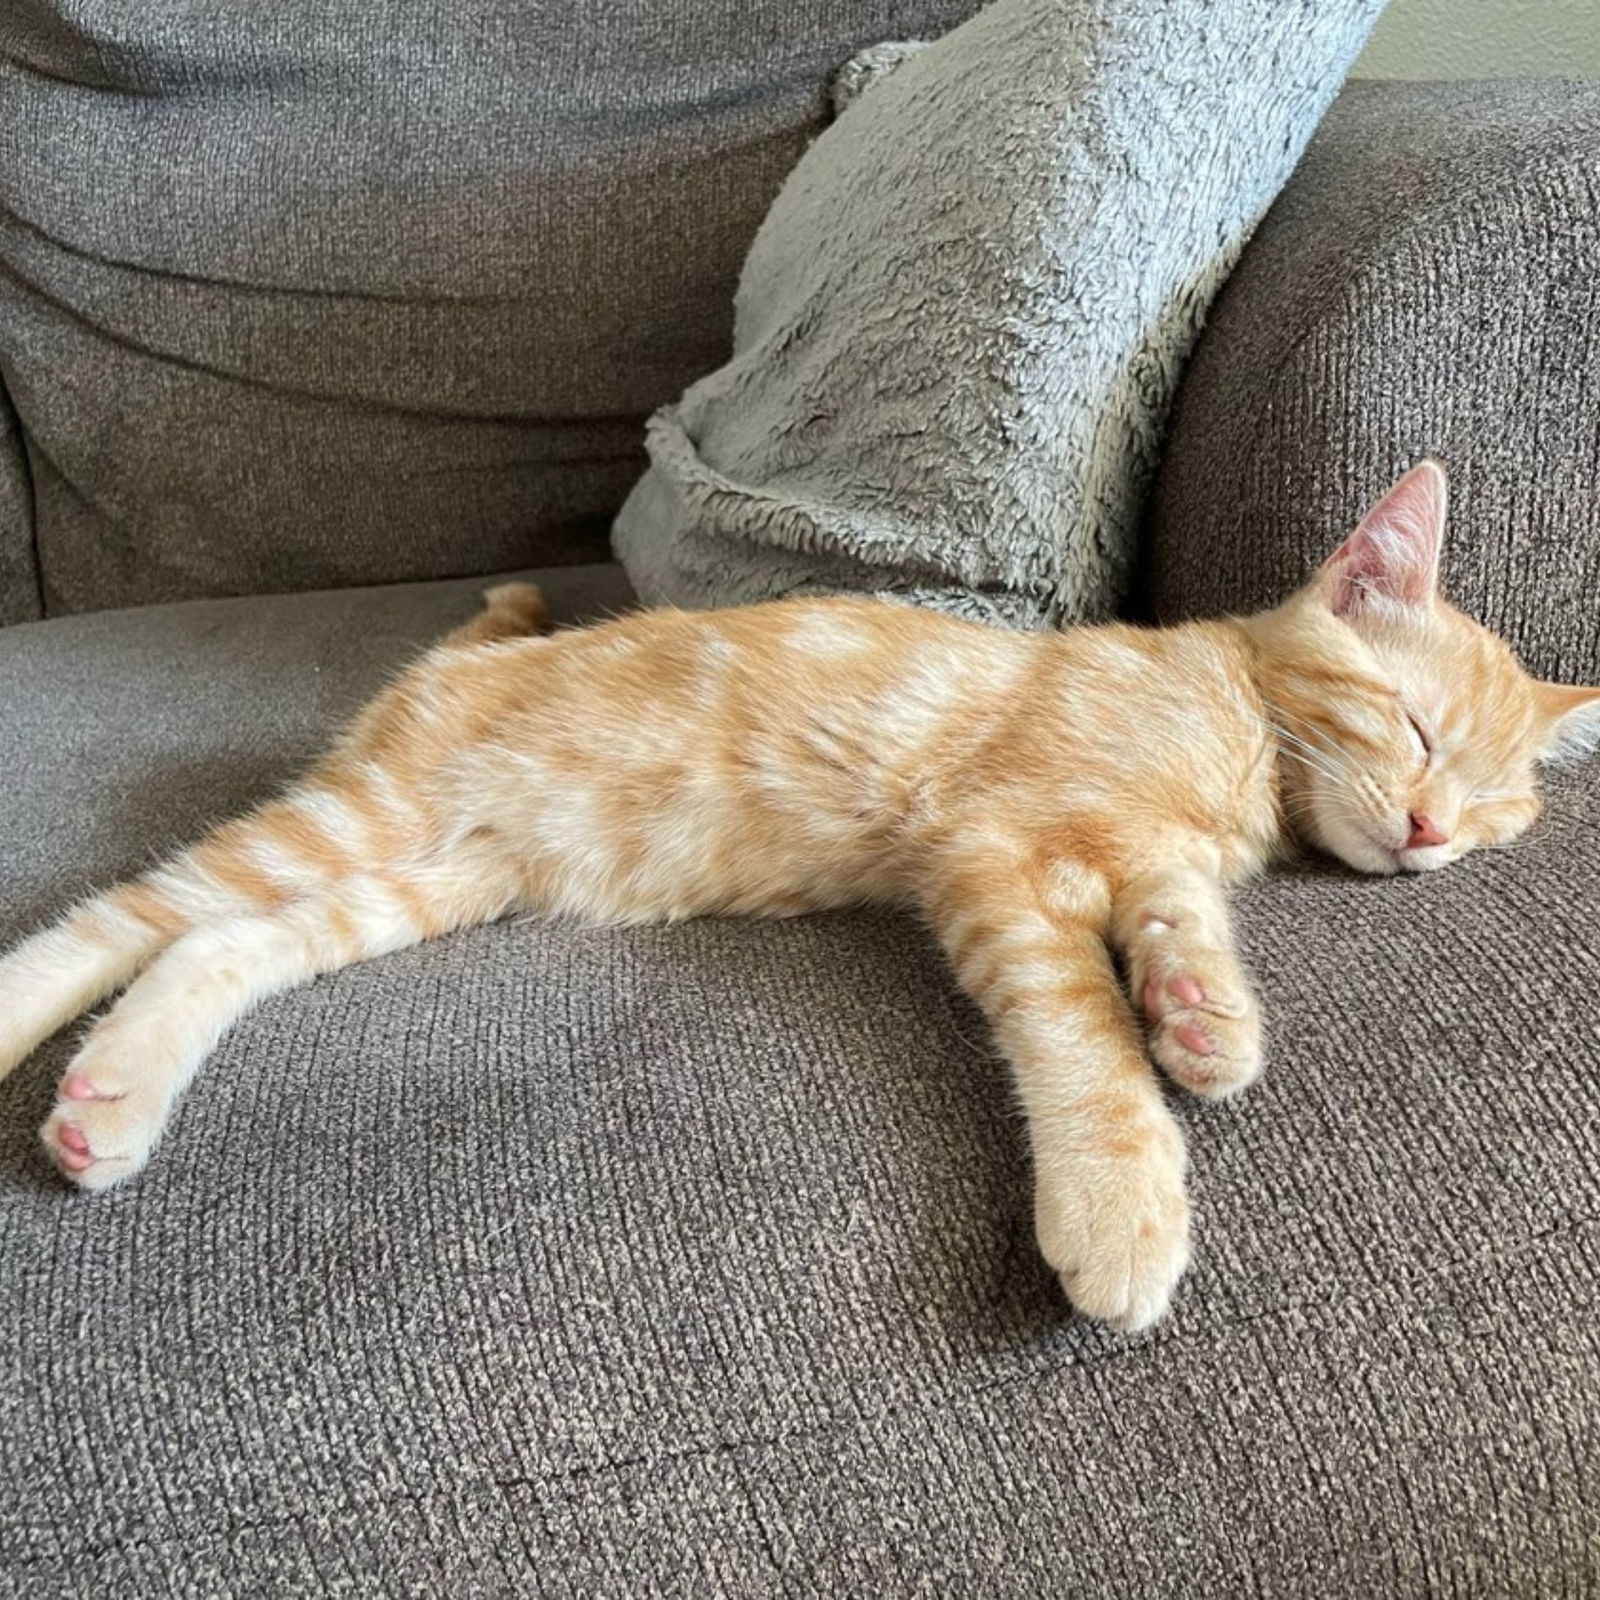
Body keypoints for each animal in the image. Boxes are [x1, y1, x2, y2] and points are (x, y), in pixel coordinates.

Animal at [0, 460, 1593, 1324]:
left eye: (1497, 815)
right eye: (1416, 732)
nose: (1431, 835)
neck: (1232, 728)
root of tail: (458, 661)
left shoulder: (1141, 855)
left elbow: (1173, 921)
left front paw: (1204, 1017)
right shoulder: (994, 852)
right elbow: (1079, 1036)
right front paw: (1121, 1202)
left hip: (426, 878)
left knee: (214, 947)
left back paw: (111, 1100)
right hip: (358, 817)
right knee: (118, 922)